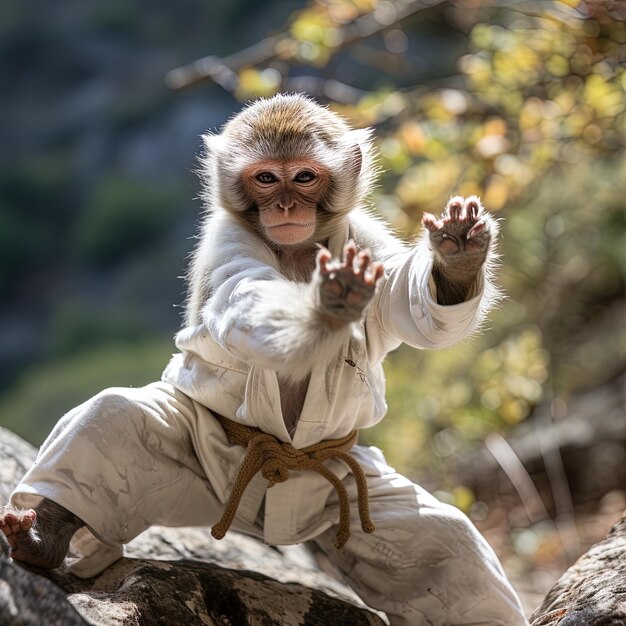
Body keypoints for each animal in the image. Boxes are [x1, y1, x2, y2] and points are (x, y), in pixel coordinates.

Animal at [2, 94, 528, 624]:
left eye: (304, 177)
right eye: (267, 178)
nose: (286, 205)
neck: (293, 250)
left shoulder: (367, 241)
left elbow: (411, 306)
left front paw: (458, 257)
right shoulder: (228, 246)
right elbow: (245, 298)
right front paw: (327, 304)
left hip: (340, 487)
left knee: (452, 557)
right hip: (212, 459)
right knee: (114, 423)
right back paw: (45, 535)